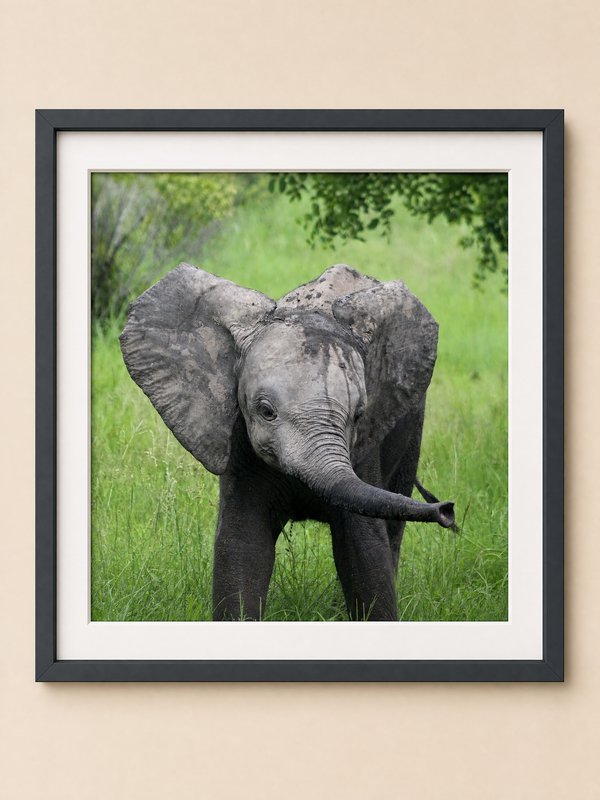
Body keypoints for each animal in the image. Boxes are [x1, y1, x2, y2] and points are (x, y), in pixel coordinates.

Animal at [120, 262, 455, 621]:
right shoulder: (240, 443)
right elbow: (242, 546)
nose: (447, 510)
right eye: (265, 411)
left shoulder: (364, 451)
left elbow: (364, 550)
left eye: (359, 415)